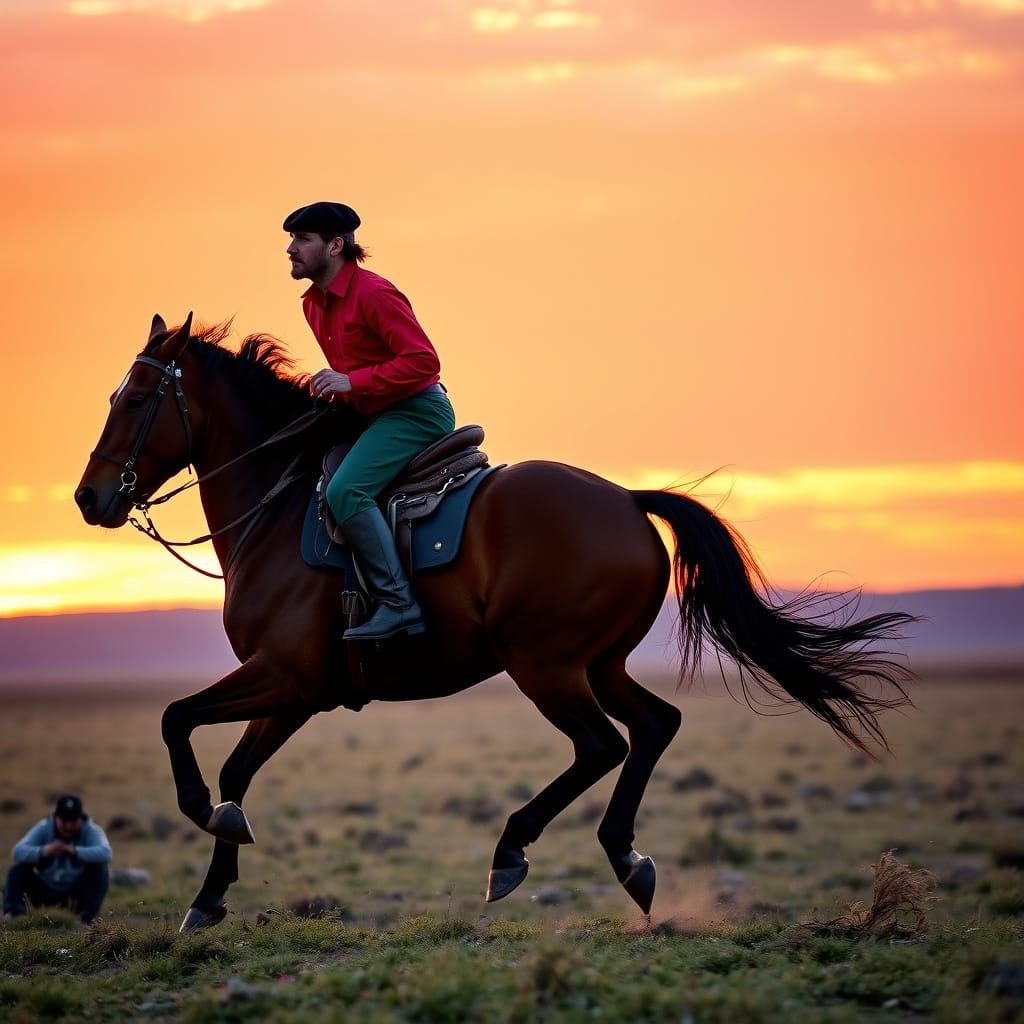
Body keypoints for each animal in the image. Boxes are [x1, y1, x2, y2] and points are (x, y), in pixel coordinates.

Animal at [75, 314, 914, 931]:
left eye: (136, 399)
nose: (89, 498)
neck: (276, 511)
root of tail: (627, 499)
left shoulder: (284, 676)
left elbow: (177, 722)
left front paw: (204, 824)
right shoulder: (295, 695)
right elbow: (235, 774)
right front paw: (211, 889)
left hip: (543, 664)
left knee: (602, 744)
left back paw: (514, 852)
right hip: (597, 663)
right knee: (655, 725)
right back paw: (625, 859)